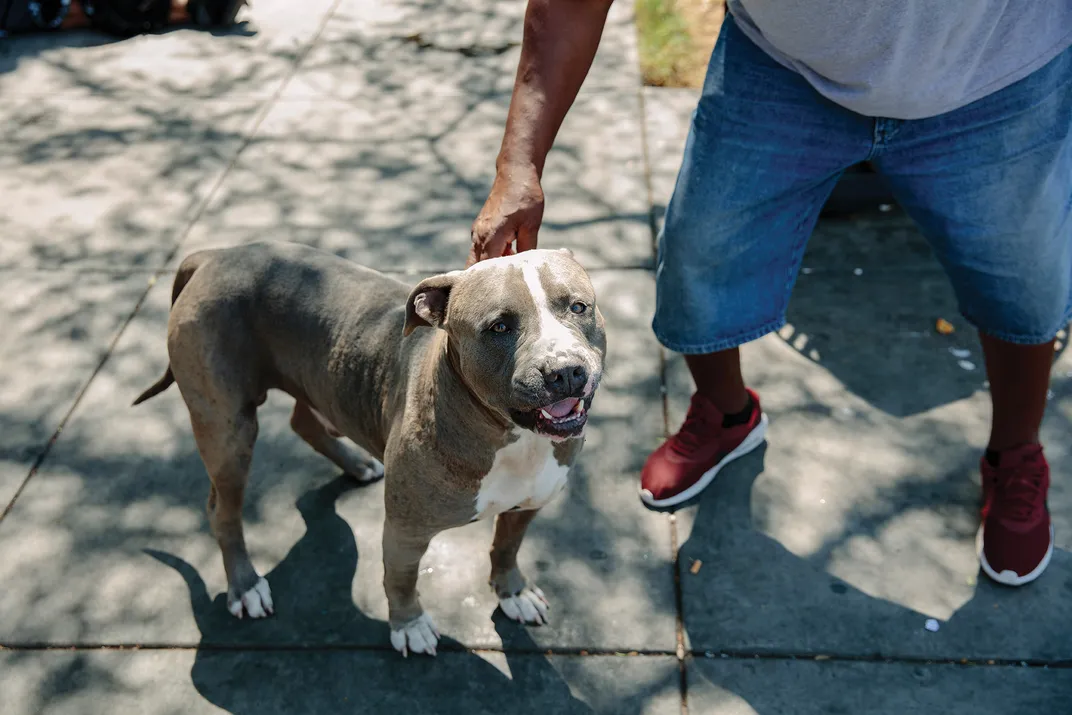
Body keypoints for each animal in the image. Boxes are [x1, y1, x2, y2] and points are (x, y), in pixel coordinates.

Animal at [131, 242, 604, 660]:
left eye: (578, 307)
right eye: (499, 327)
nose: (564, 372)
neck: (513, 436)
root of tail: (214, 254)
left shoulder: (529, 504)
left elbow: (507, 545)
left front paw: (513, 591)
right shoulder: (405, 528)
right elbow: (401, 578)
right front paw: (408, 625)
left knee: (303, 421)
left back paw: (357, 464)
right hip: (227, 429)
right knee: (223, 511)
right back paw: (245, 586)